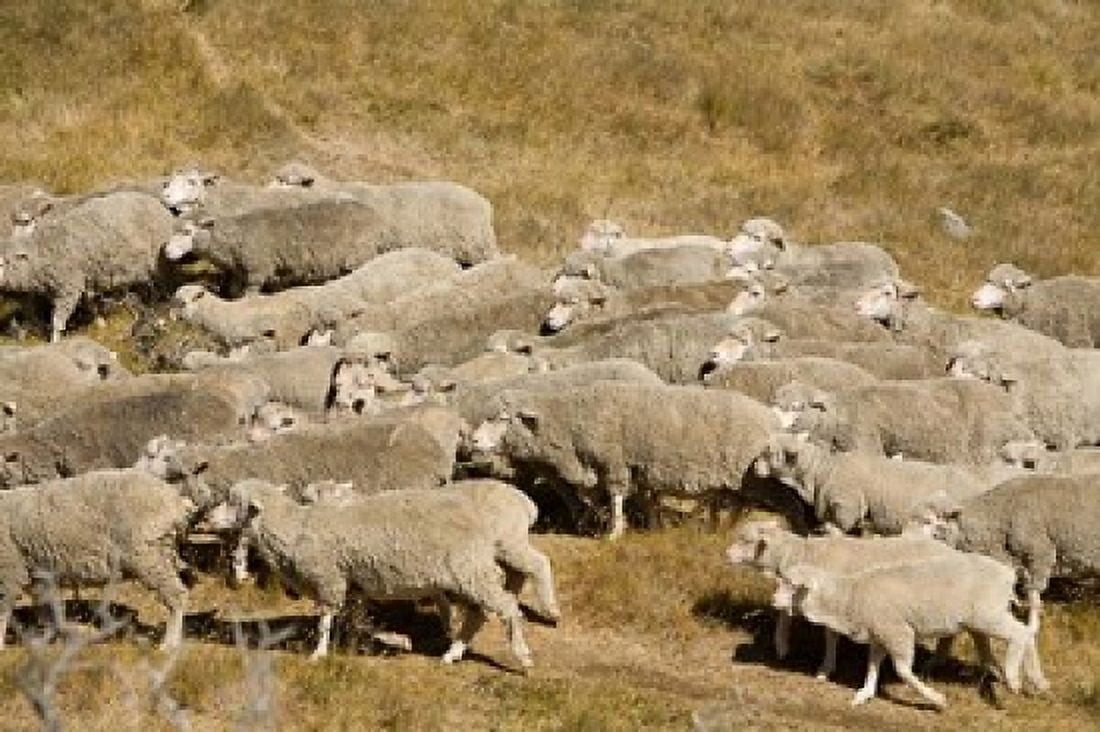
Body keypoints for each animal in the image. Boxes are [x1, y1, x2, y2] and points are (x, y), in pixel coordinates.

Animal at [0, 191, 174, 341]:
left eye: (25, 221)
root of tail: (156, 203)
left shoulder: (69, 287)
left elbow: (57, 322)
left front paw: (54, 342)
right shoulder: (86, 279)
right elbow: (91, 305)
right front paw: (100, 323)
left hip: (158, 263)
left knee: (161, 287)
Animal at [0, 468, 212, 650]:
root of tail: (176, 500)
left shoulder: (10, 571)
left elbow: (4, 610)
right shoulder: (37, 574)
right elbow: (46, 611)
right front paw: (43, 641)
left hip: (147, 555)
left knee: (177, 595)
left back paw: (169, 645)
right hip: (163, 551)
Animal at [208, 479, 539, 666]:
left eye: (231, 501)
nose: (207, 516)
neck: (295, 527)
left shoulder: (329, 579)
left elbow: (324, 621)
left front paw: (318, 654)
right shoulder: (354, 584)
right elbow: (357, 621)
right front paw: (383, 640)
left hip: (469, 569)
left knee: (506, 607)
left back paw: (522, 655)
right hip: (466, 574)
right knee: (479, 613)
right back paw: (453, 652)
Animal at [469, 382, 778, 538]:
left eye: (501, 418)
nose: (473, 441)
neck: (570, 421)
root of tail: (772, 419)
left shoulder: (614, 462)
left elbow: (615, 496)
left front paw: (614, 531)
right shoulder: (623, 466)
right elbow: (602, 497)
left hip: (745, 477)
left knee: (738, 505)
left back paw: (719, 528)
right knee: (730, 503)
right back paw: (715, 527)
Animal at [783, 555, 1045, 709]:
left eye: (791, 585)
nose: (776, 600)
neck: (849, 598)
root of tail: (1008, 573)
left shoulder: (899, 633)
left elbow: (903, 671)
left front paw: (937, 699)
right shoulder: (880, 634)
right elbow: (873, 664)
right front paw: (864, 694)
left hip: (987, 614)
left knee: (1020, 634)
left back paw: (1013, 679)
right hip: (990, 614)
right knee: (1024, 634)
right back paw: (1036, 679)